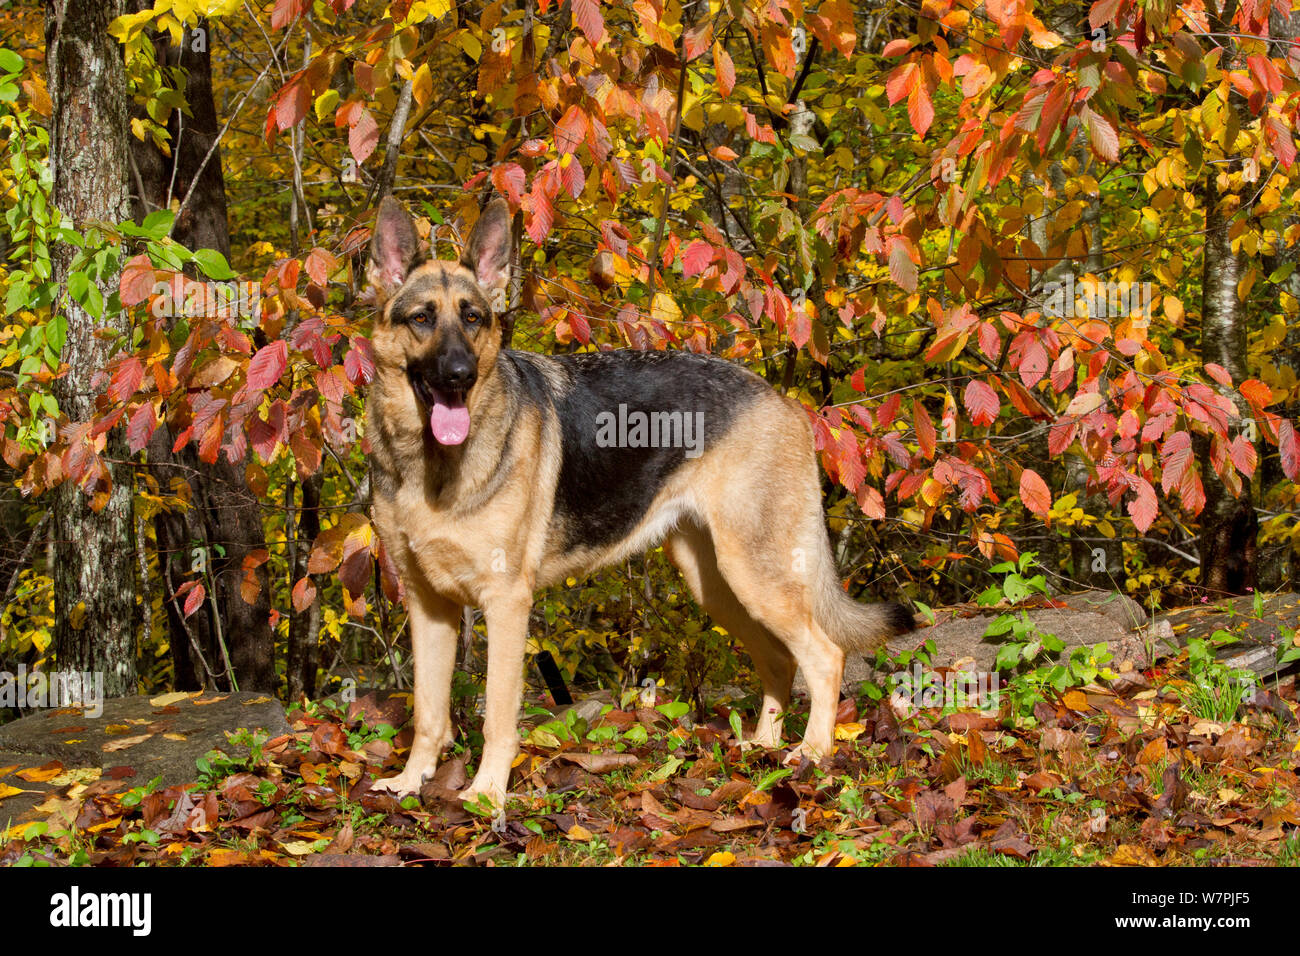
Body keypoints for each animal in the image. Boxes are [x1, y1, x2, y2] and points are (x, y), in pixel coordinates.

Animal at [366, 197, 915, 806]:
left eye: (472, 318)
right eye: (421, 319)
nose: (460, 376)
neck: (428, 465)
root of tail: (784, 401)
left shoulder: (505, 602)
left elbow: (498, 717)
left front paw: (486, 794)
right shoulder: (429, 608)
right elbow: (428, 713)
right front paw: (411, 782)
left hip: (755, 576)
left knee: (825, 655)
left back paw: (812, 754)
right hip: (716, 583)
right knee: (778, 659)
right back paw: (761, 748)